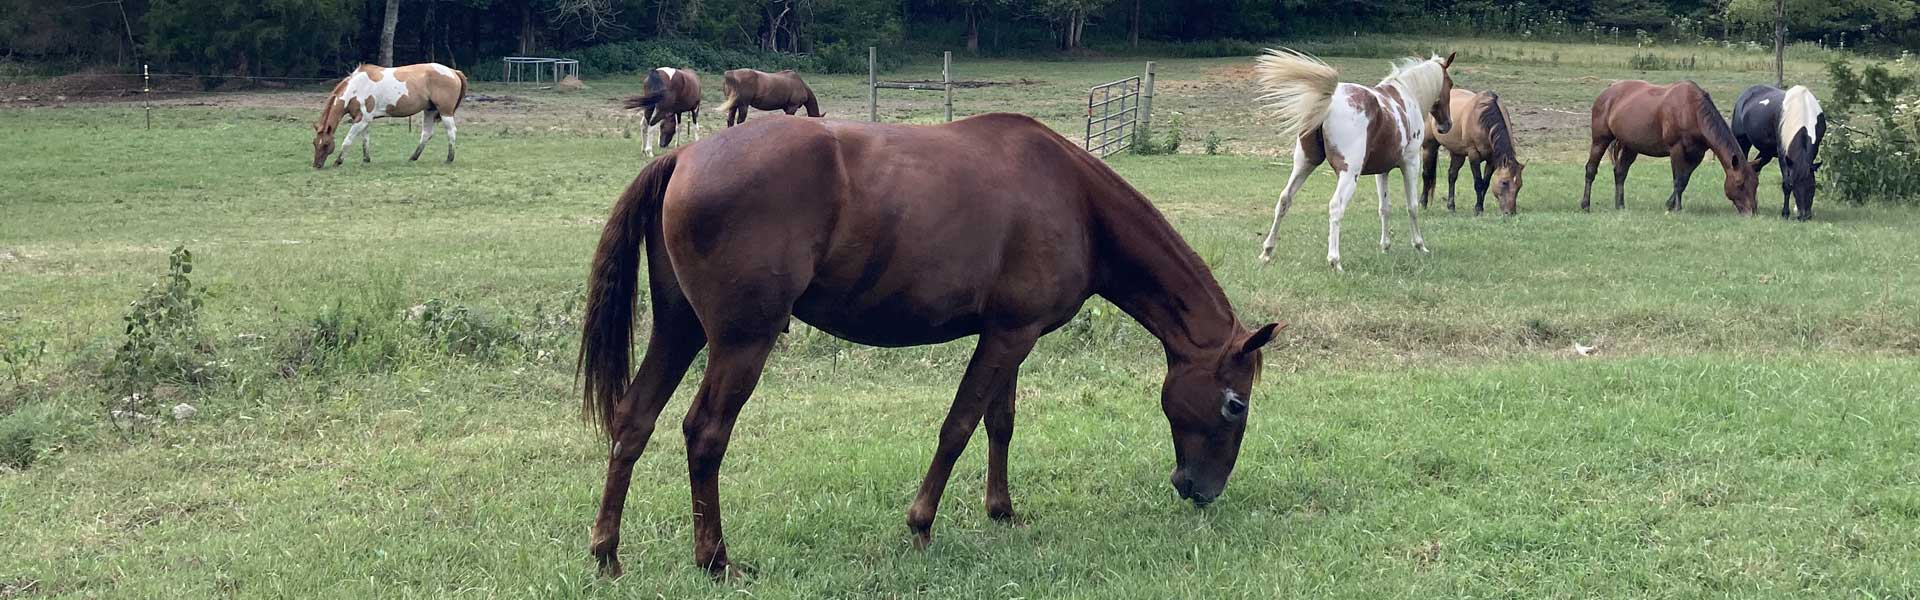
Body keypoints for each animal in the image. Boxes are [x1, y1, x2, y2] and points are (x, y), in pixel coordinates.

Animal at [312, 62, 470, 169]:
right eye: (314, 143)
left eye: (326, 144)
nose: (316, 165)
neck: (356, 88)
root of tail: (453, 71)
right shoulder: (364, 120)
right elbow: (365, 140)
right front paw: (366, 159)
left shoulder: (361, 120)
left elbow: (348, 140)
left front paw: (338, 161)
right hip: (429, 110)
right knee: (426, 134)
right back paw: (413, 157)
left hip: (445, 111)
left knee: (451, 132)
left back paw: (449, 159)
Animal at [576, 111, 1282, 576]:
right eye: (1235, 405)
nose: (1201, 489)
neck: (1075, 199)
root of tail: (683, 158)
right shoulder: (1007, 337)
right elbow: (960, 424)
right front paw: (921, 523)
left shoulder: (1011, 333)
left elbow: (1001, 422)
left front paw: (1001, 510)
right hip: (740, 342)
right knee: (705, 433)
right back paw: (714, 558)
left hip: (680, 330)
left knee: (634, 420)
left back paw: (607, 553)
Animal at [1244, 50, 1451, 271]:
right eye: (1450, 83)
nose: (1446, 125)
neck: (1406, 96)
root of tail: (1329, 102)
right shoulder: (1410, 163)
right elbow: (1412, 206)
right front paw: (1419, 245)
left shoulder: (1382, 171)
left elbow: (1384, 208)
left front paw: (1385, 246)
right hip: (1349, 174)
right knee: (1336, 206)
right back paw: (1335, 260)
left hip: (1304, 164)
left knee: (1284, 199)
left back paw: (1267, 251)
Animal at [1574, 80, 1758, 214]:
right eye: (1740, 183)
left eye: (1756, 184)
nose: (1752, 211)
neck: (1692, 111)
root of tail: (1606, 92)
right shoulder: (1676, 149)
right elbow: (1678, 180)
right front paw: (1676, 208)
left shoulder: (1696, 154)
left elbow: (1684, 180)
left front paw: (1670, 204)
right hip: (1600, 140)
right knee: (1591, 169)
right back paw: (1585, 205)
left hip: (1630, 146)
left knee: (1620, 172)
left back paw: (1620, 205)